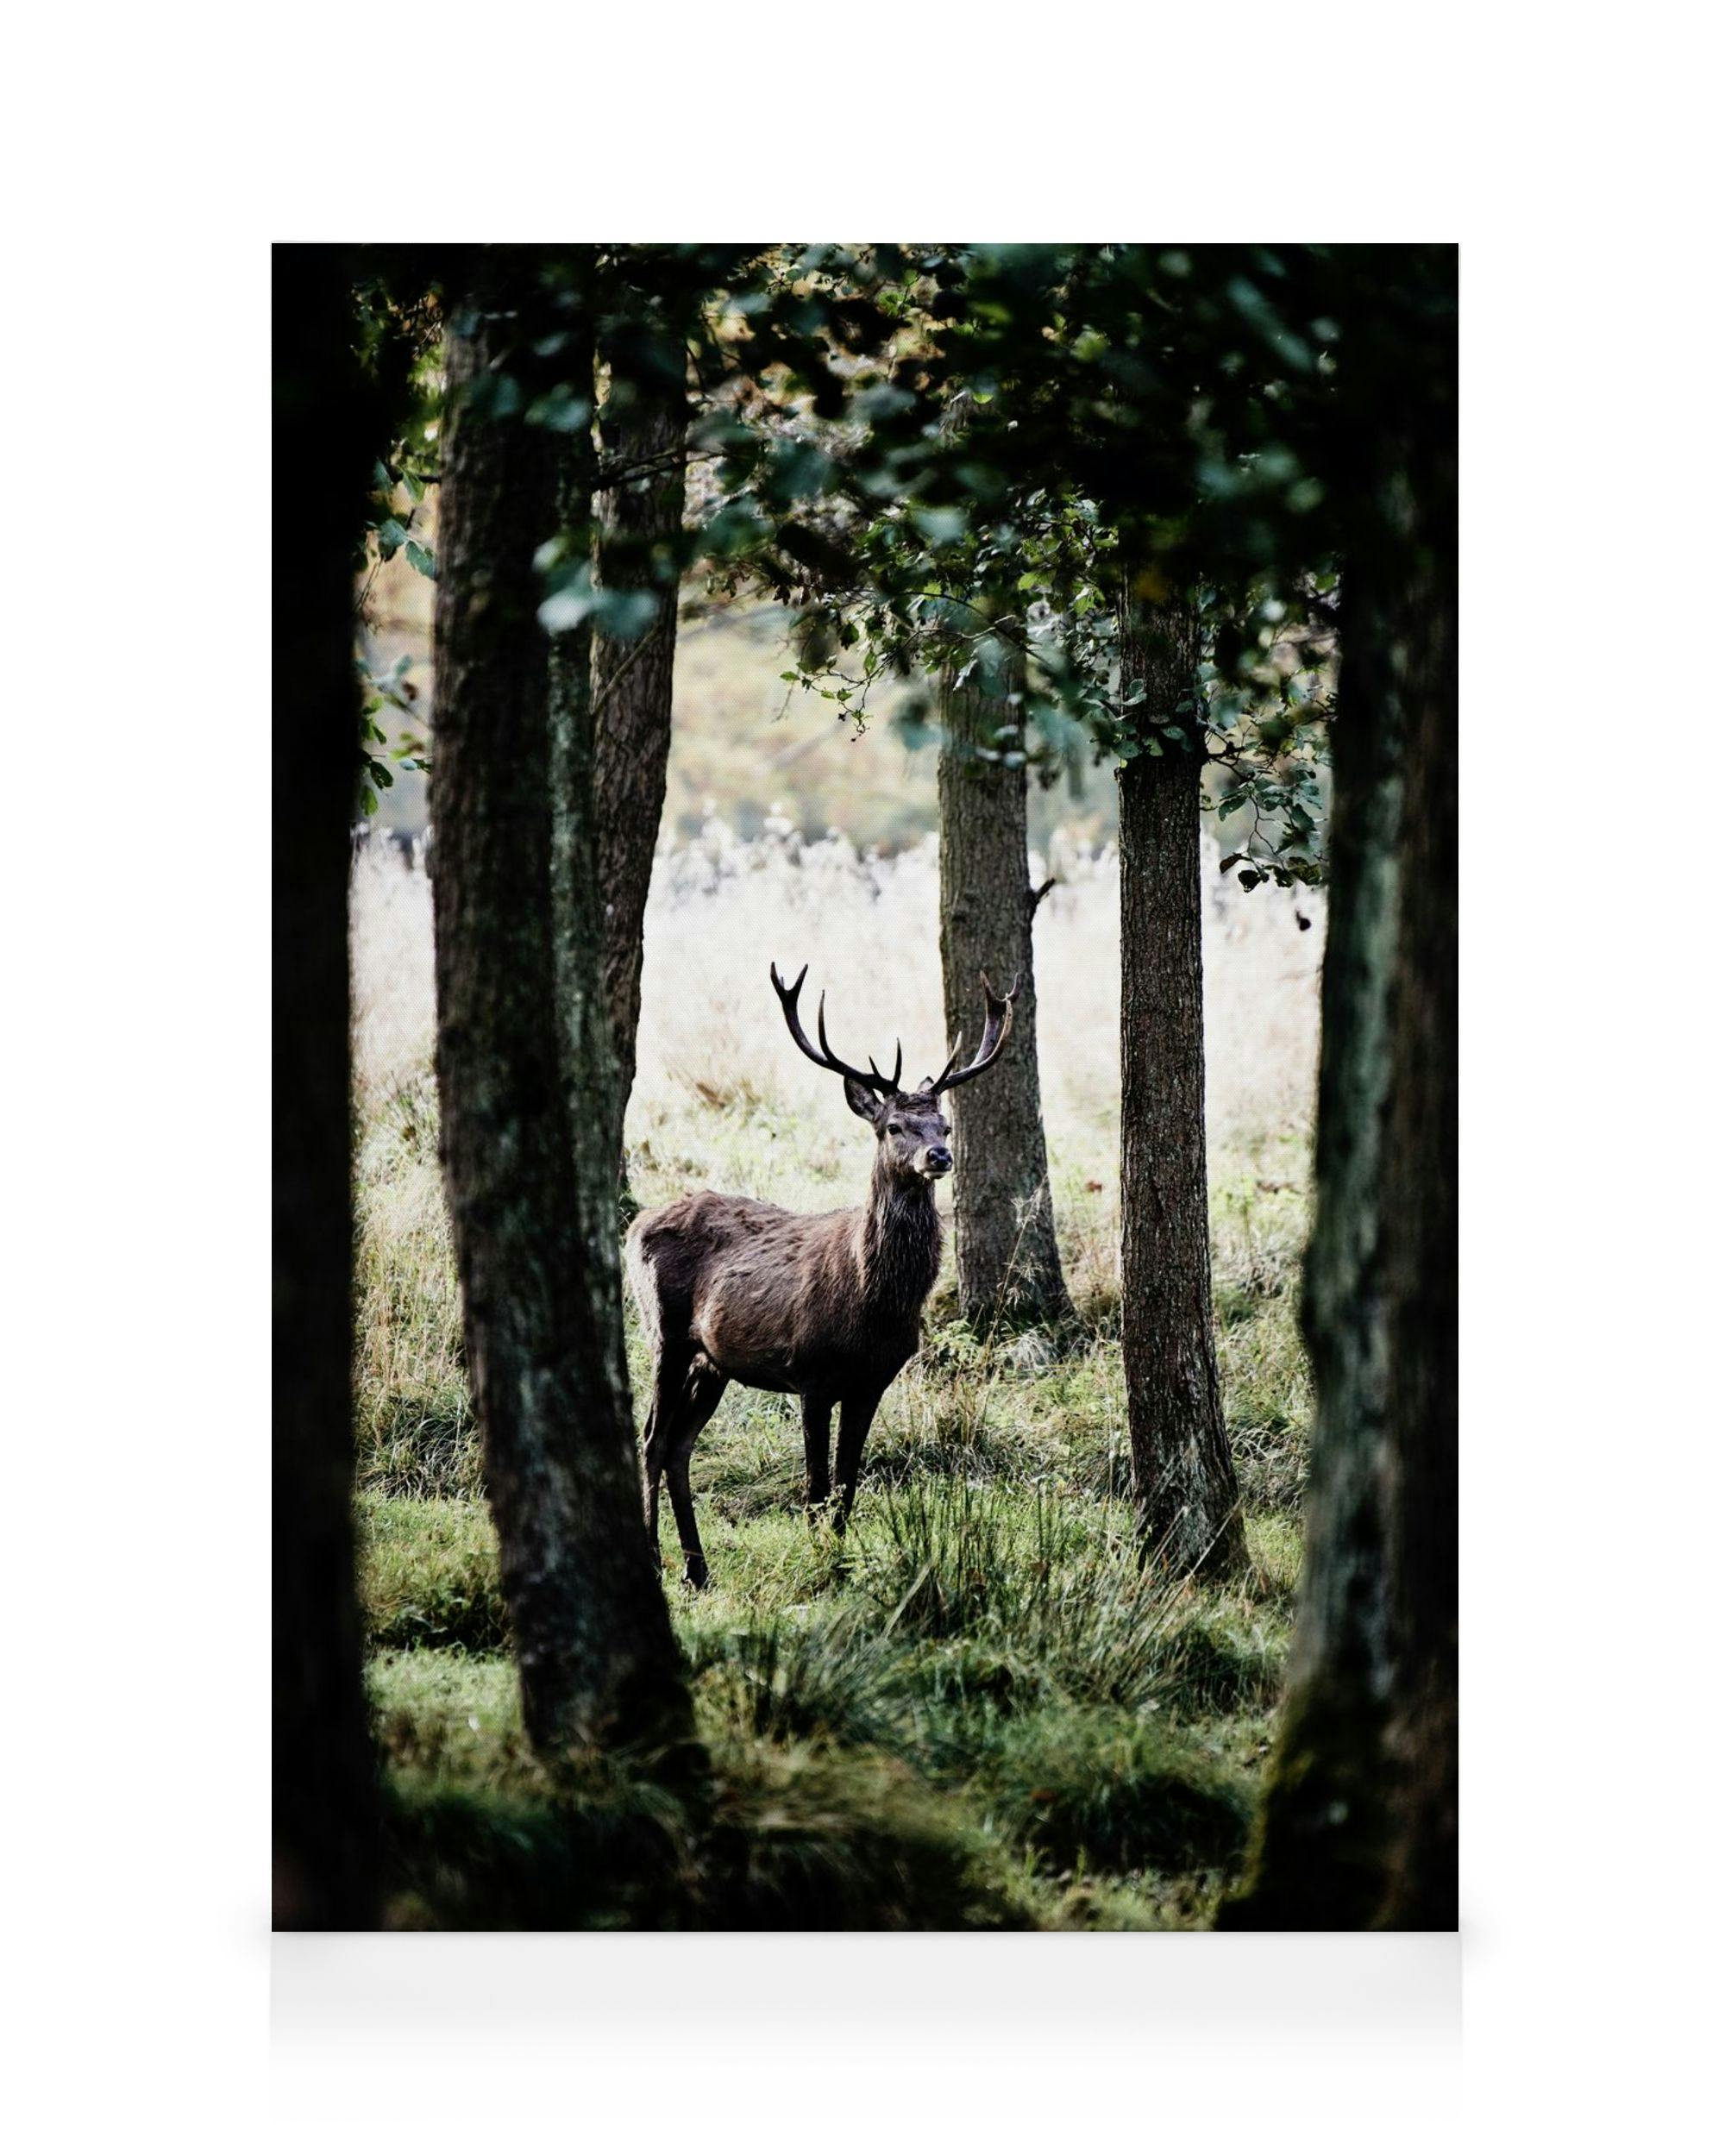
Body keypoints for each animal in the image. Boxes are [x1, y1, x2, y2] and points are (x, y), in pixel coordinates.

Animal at [624, 963, 1017, 1586]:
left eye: (945, 1125)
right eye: (894, 1126)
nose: (938, 1157)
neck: (873, 1306)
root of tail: (635, 1225)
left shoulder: (871, 1382)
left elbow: (848, 1484)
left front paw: (839, 1561)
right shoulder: (809, 1373)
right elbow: (814, 1486)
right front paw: (819, 1566)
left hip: (713, 1361)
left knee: (682, 1445)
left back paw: (699, 1571)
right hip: (664, 1332)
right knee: (653, 1440)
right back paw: (659, 1560)